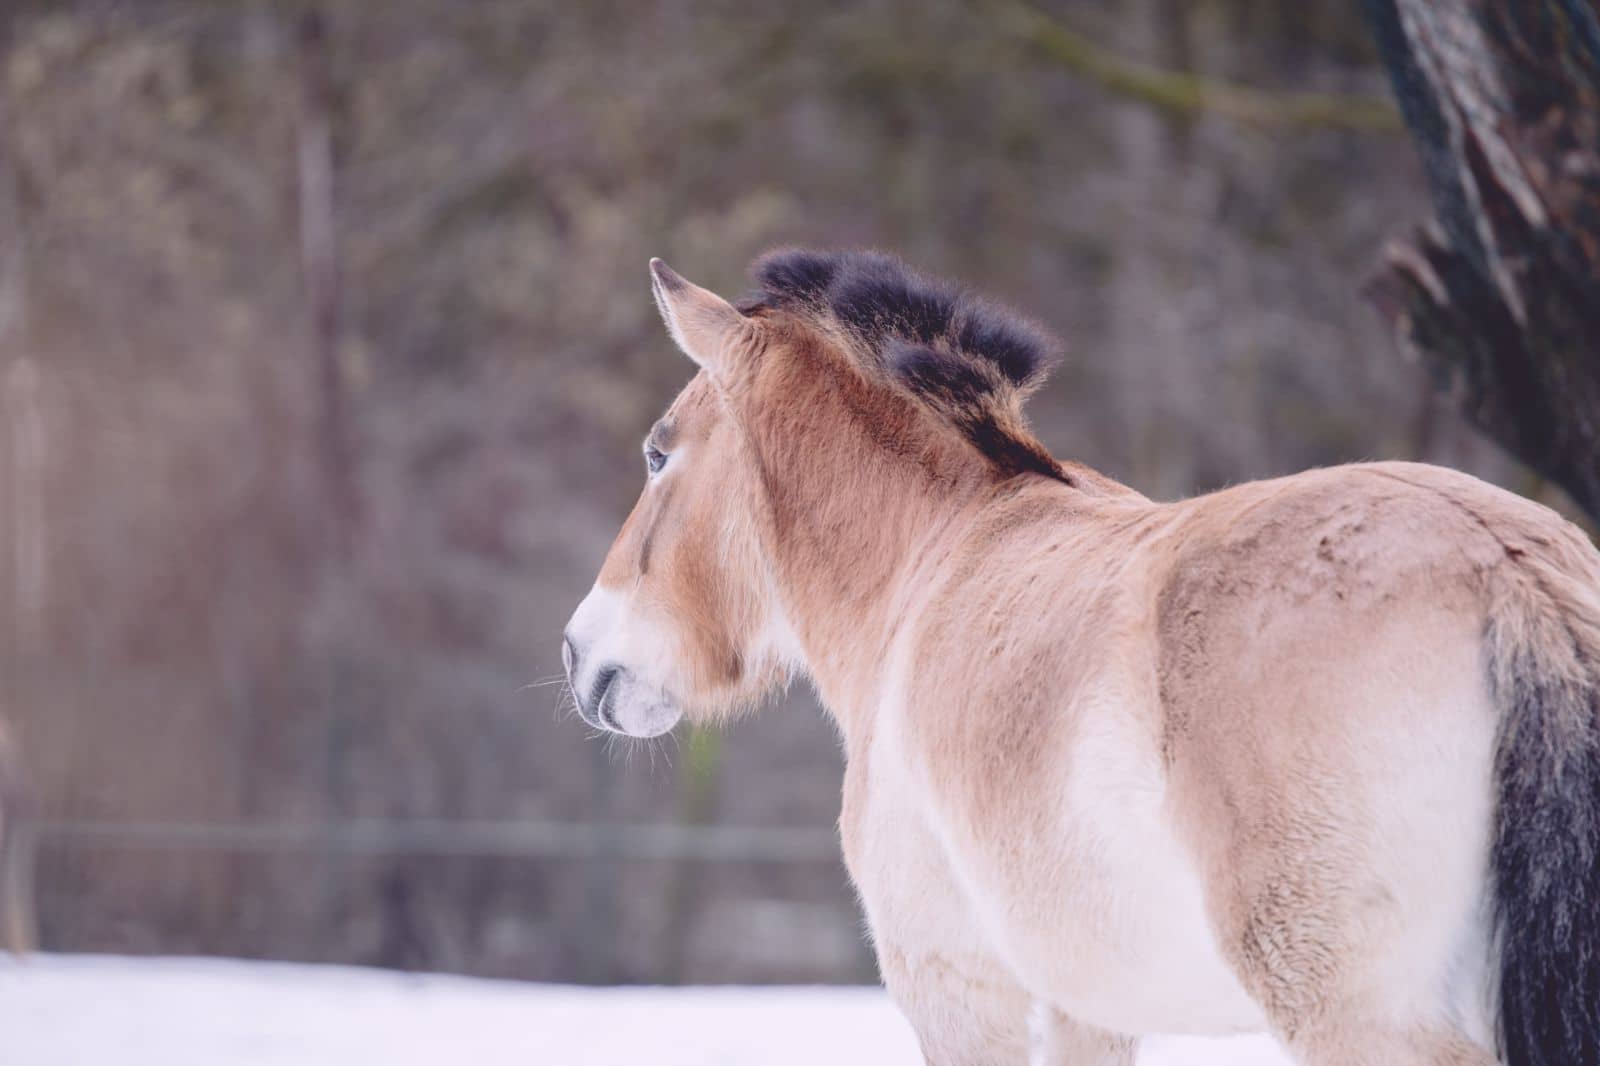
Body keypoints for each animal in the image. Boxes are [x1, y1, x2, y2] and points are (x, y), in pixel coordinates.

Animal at [566, 249, 1600, 1062]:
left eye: (658, 454)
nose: (583, 654)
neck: (932, 558)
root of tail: (1512, 574)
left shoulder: (953, 989)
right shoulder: (1086, 1008)